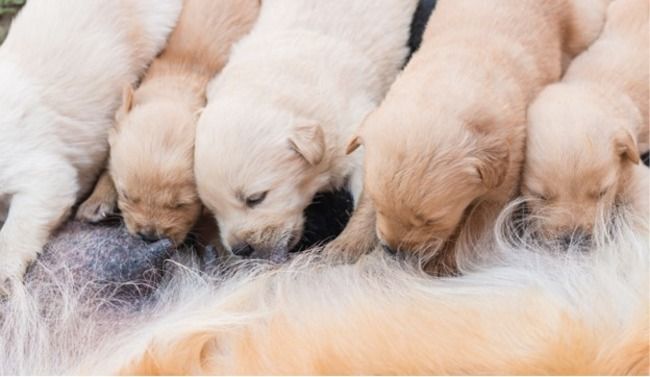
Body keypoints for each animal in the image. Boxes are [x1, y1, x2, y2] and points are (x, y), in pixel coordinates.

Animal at [76, 0, 258, 244]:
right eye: (126, 195)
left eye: (181, 204)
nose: (148, 236)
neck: (179, 79)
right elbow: (109, 167)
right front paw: (96, 200)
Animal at [194, 0, 416, 262]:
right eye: (212, 209)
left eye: (255, 199)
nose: (240, 250)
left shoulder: (355, 129)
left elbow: (369, 196)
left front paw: (347, 245)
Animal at [344, 0, 608, 272]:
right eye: (381, 208)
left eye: (431, 220)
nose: (394, 251)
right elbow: (365, 205)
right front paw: (345, 245)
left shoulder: (503, 181)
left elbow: (472, 228)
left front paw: (440, 266)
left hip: (585, 25)